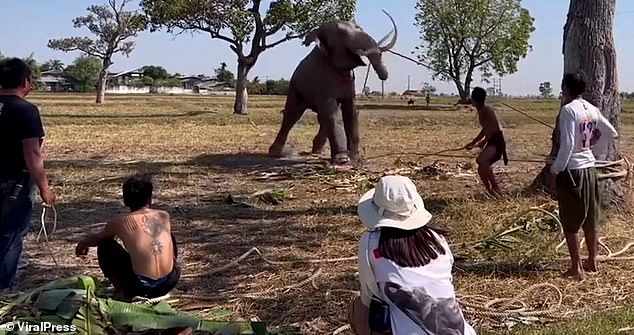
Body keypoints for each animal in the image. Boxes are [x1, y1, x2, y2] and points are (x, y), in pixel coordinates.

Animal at [266, 11, 396, 166]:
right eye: (341, 33)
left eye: (359, 27)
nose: (384, 76)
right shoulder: (322, 78)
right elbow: (332, 113)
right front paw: (342, 160)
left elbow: (350, 112)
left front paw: (354, 159)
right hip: (295, 86)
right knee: (292, 115)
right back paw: (276, 153)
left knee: (320, 117)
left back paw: (317, 151)